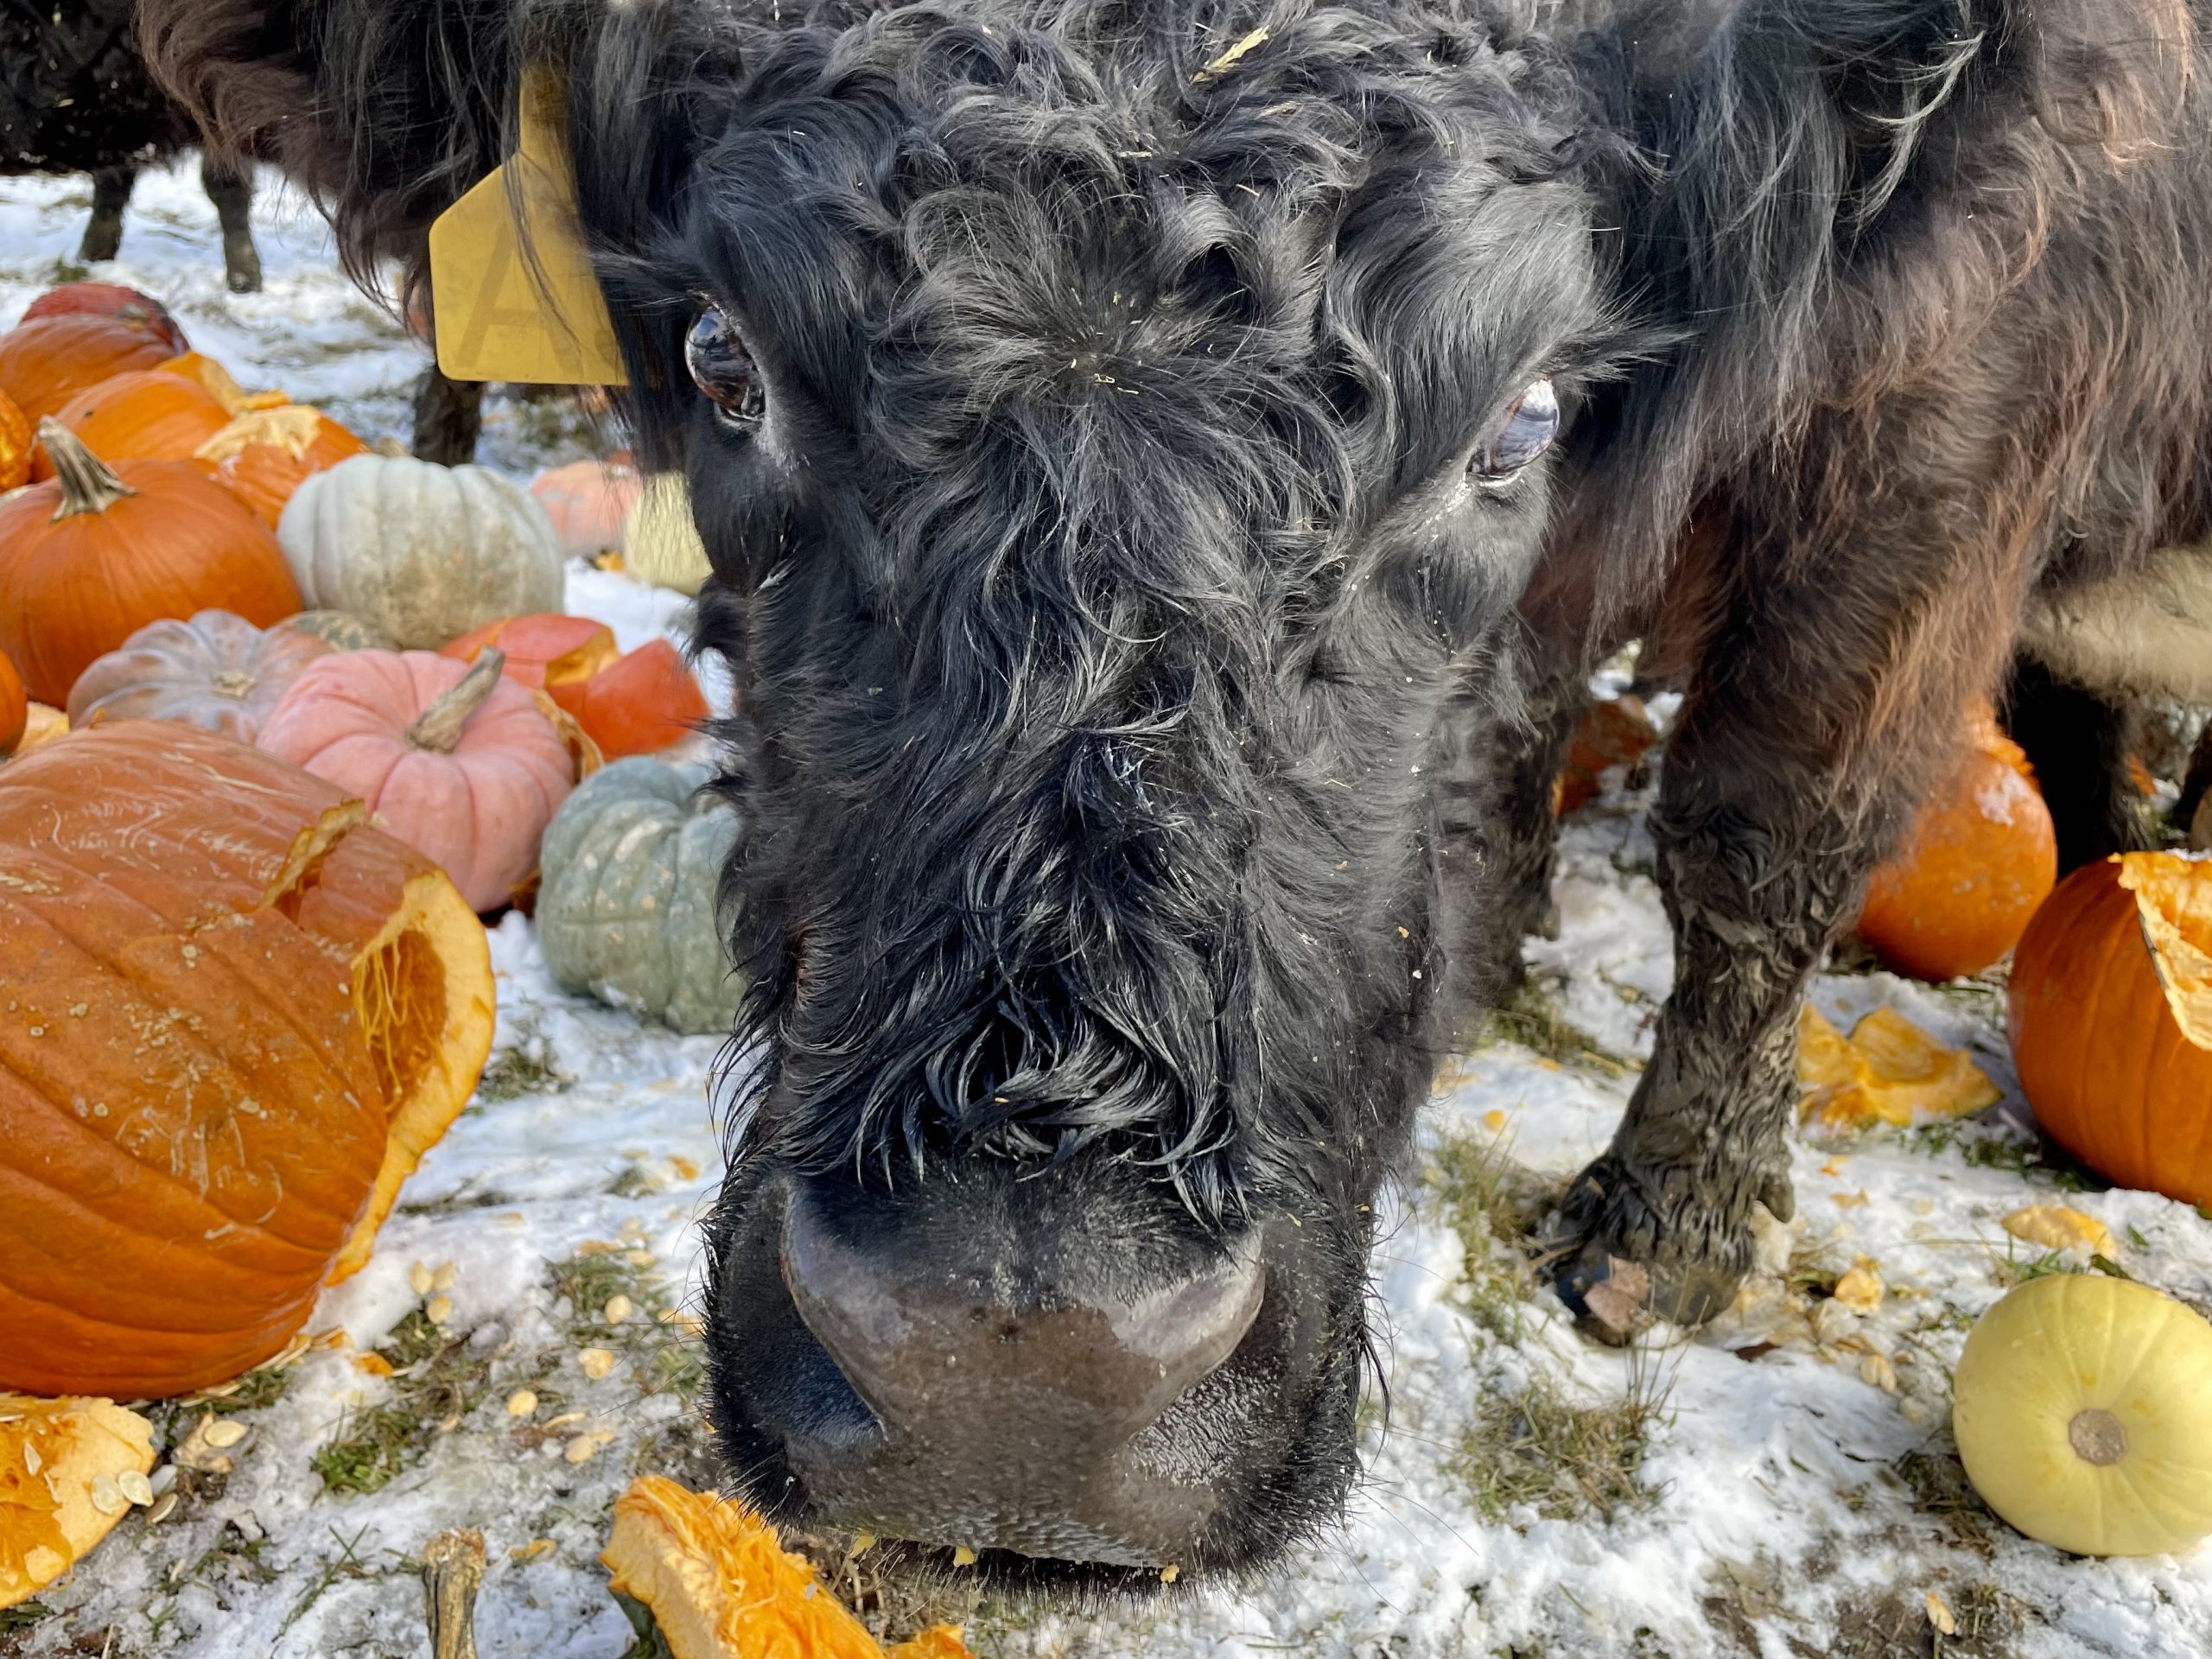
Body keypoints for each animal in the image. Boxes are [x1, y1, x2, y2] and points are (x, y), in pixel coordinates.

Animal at [143, 0, 2212, 1601]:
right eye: (725, 362)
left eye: (1518, 422)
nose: (1016, 1365)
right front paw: (1496, 937)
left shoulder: (1932, 462)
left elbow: (1760, 827)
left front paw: (1672, 1222)